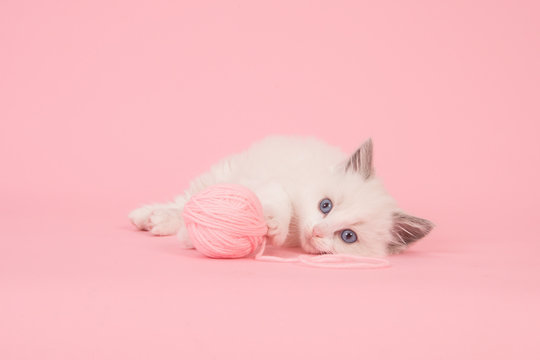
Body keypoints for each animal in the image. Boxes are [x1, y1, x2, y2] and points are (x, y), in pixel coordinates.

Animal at [130, 135, 434, 256]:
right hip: (221, 173)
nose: (316, 231)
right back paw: (149, 217)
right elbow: (280, 196)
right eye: (325, 205)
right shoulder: (275, 181)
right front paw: (274, 225)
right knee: (187, 201)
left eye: (348, 236)